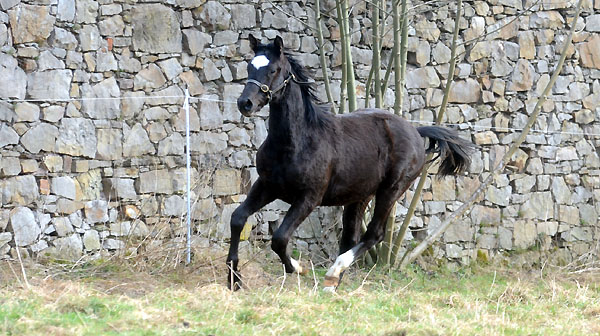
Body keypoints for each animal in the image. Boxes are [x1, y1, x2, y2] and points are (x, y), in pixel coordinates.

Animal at [226, 34, 474, 292]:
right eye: (249, 67)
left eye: (273, 69)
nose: (245, 103)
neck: (296, 141)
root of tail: (416, 131)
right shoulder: (267, 186)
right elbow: (237, 219)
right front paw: (234, 279)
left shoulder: (309, 197)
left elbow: (280, 238)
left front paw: (297, 267)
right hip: (360, 196)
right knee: (350, 237)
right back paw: (331, 284)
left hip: (390, 191)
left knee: (374, 234)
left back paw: (334, 271)